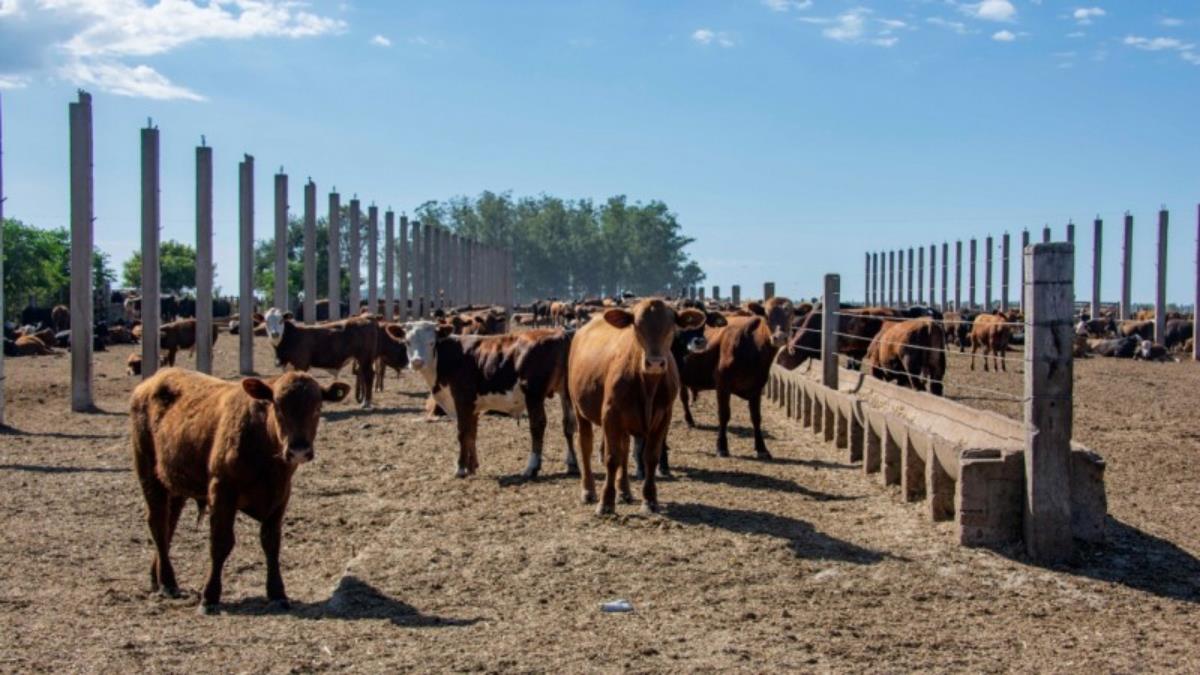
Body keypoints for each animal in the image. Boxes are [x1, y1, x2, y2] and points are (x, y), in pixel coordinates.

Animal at [131, 365, 350, 612]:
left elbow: (271, 542)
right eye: (277, 405)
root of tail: (154, 379)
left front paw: (277, 592)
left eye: (318, 407)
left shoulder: (281, 495)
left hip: (176, 485)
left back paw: (157, 578)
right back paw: (168, 583)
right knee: (158, 523)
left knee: (169, 523)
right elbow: (221, 542)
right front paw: (210, 596)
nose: (299, 450)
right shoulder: (222, 491)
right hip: (149, 473)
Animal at [398, 319, 576, 478]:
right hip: (565, 393)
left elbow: (462, 432)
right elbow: (472, 433)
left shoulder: (462, 399)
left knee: (537, 426)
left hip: (534, 394)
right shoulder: (474, 406)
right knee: (568, 425)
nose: (417, 362)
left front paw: (460, 468)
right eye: (407, 342)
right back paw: (572, 463)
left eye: (431, 342)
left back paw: (531, 467)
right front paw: (472, 466)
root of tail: (561, 333)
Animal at [568, 296, 705, 511]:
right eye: (637, 326)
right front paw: (606, 502)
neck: (647, 386)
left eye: (671, 327)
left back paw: (625, 491)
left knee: (624, 449)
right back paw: (588, 490)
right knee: (585, 446)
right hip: (579, 409)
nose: (655, 363)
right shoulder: (611, 415)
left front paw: (650, 499)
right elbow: (611, 458)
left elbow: (650, 457)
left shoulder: (663, 417)